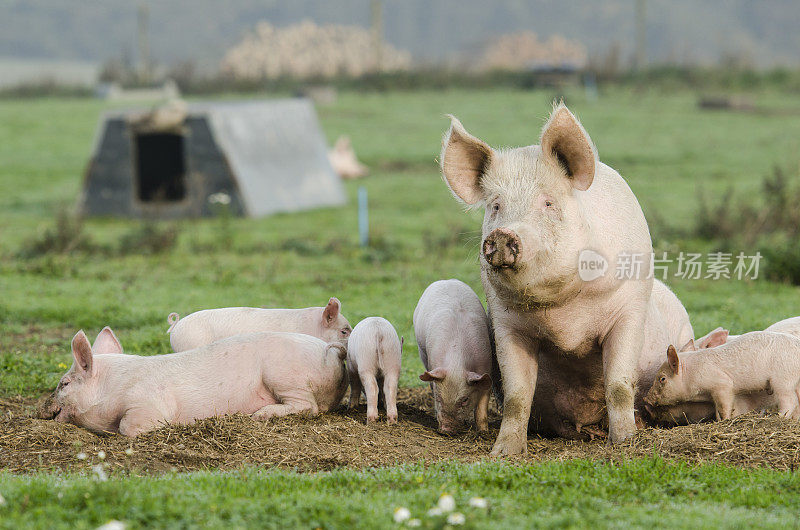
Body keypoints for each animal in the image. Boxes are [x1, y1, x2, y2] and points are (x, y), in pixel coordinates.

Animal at [39, 326, 346, 434]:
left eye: (64, 384)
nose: (42, 408)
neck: (112, 388)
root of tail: (330, 352)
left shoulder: (149, 403)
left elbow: (129, 427)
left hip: (283, 376)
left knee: (309, 407)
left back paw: (259, 415)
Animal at [412, 278, 494, 432]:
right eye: (439, 398)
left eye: (465, 400)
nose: (446, 430)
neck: (457, 362)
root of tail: (446, 280)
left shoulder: (486, 367)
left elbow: (482, 407)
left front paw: (483, 431)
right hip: (422, 352)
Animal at [440, 104, 692, 454]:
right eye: (495, 206)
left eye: (548, 203)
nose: (503, 235)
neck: (564, 319)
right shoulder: (507, 324)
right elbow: (517, 395)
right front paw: (503, 453)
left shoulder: (629, 310)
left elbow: (618, 384)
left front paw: (625, 442)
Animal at [644, 330, 800, 420]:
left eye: (662, 379)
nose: (646, 400)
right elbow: (718, 410)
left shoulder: (722, 385)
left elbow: (723, 407)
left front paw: (725, 420)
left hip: (783, 379)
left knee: (790, 400)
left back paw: (778, 417)